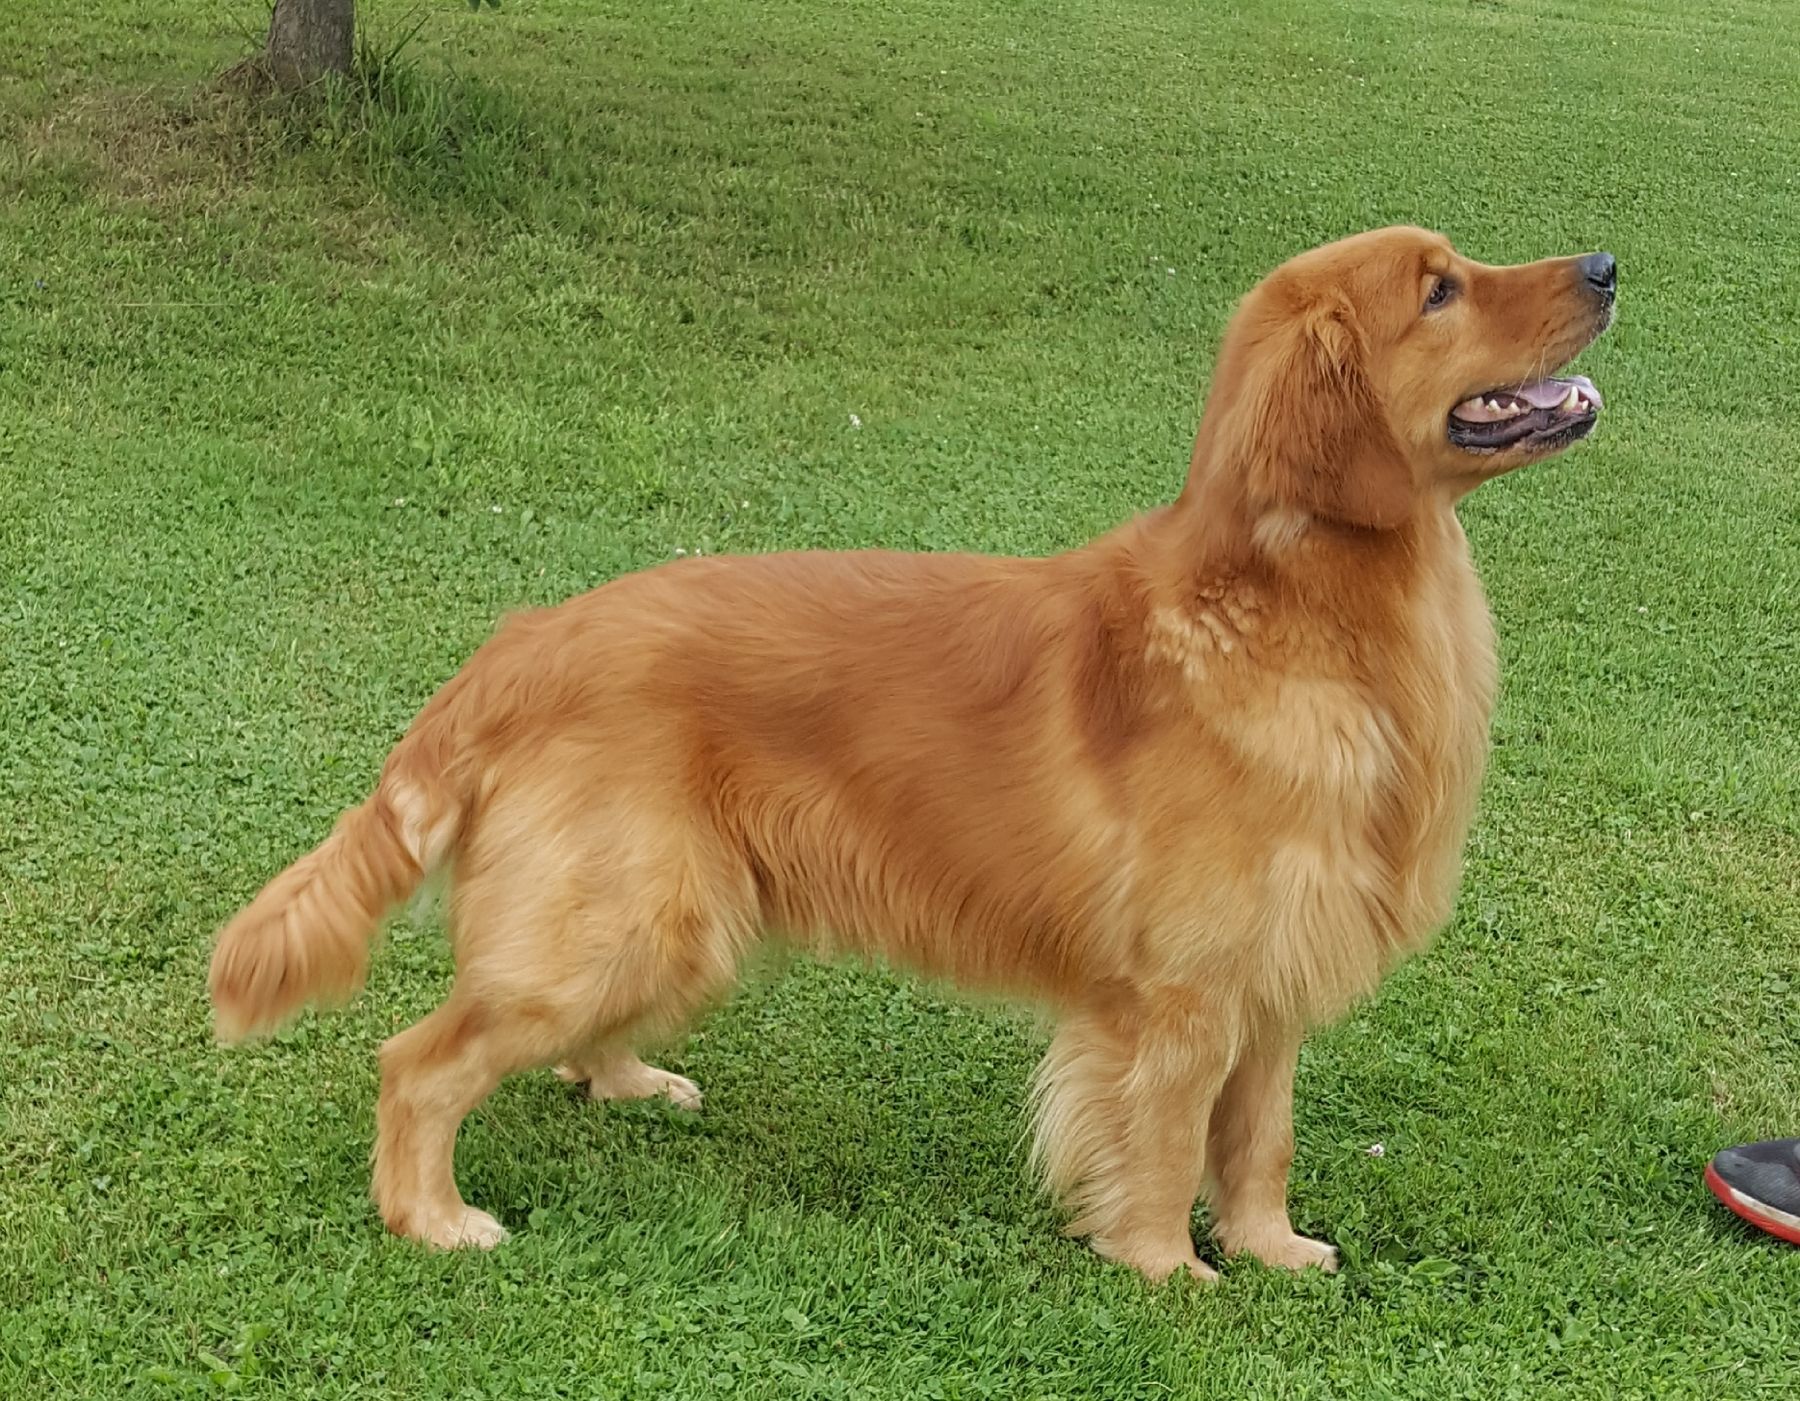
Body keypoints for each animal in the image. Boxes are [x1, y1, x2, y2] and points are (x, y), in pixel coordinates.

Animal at [210, 226, 1620, 1274]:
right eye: (1439, 290)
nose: (1608, 266)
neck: (1297, 617)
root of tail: (524, 642)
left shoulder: (1269, 982)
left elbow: (1258, 1143)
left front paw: (1273, 1251)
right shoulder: (1178, 997)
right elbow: (1167, 1147)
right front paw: (1169, 1273)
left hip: (679, 917)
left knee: (569, 1042)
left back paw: (627, 1083)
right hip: (611, 919)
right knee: (419, 1065)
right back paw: (433, 1217)